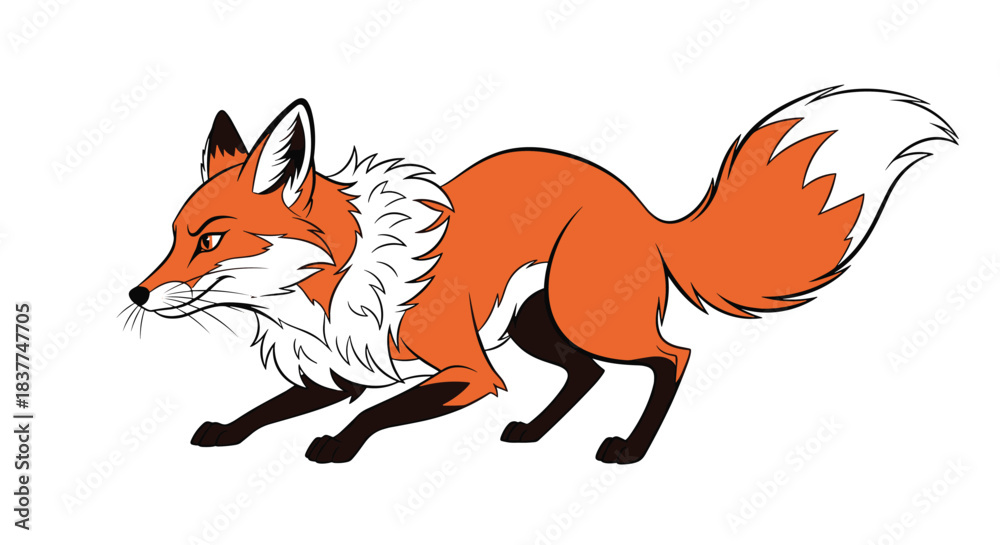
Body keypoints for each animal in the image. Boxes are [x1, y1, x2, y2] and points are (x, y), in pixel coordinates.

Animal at [126, 87, 955, 464]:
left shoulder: (466, 370)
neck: (341, 280)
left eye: (211, 238)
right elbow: (269, 407)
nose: (134, 294)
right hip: (538, 324)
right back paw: (532, 431)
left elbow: (374, 414)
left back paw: (631, 448)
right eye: (172, 236)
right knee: (585, 373)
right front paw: (228, 431)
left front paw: (338, 446)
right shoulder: (343, 366)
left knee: (671, 356)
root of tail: (645, 209)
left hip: (590, 317)